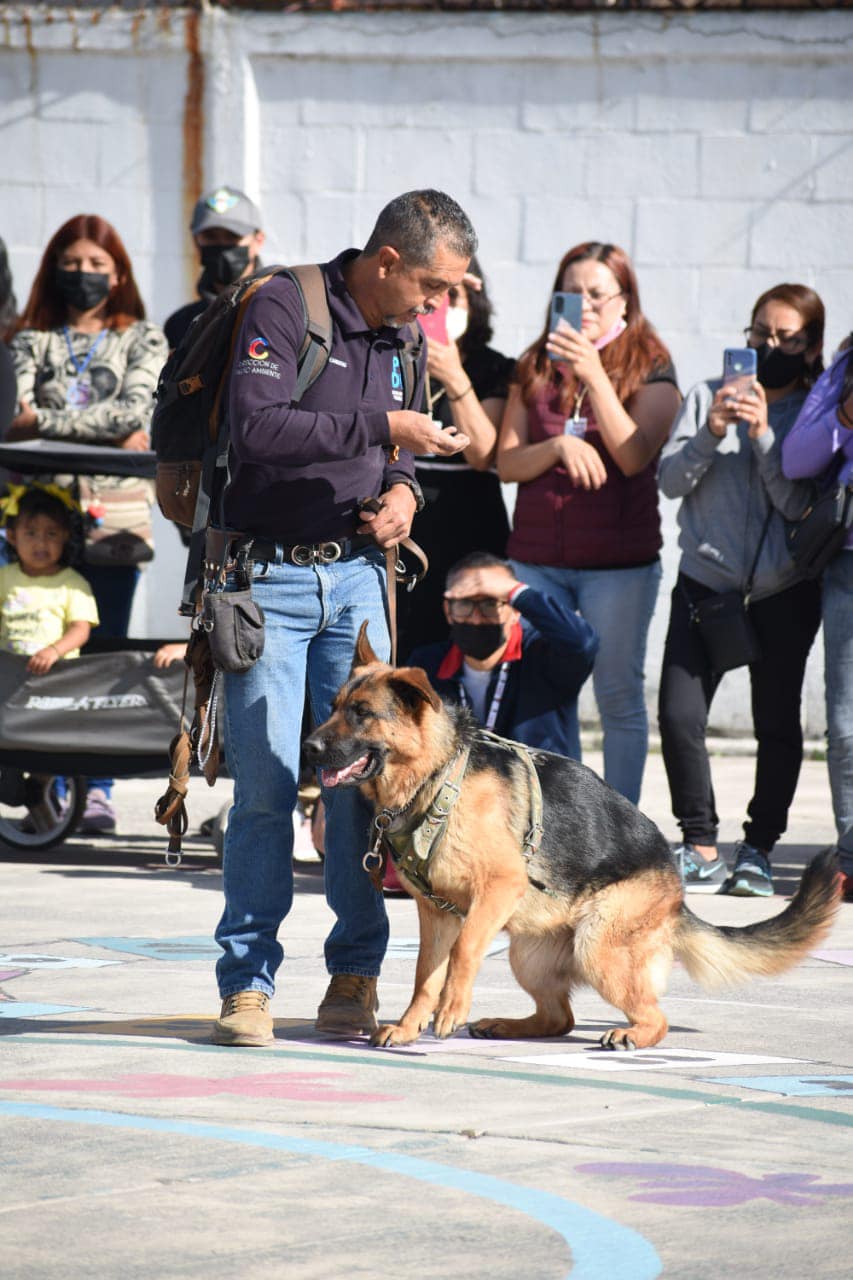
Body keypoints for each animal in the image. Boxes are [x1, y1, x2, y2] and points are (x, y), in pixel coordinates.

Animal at [302, 622, 835, 1049]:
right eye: (333, 706)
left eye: (363, 713)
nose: (308, 747)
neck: (438, 775)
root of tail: (677, 893)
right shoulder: (435, 914)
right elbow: (424, 974)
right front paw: (411, 1025)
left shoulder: (496, 891)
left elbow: (465, 951)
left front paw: (451, 1010)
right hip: (527, 954)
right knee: (559, 1017)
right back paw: (505, 1025)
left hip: (597, 946)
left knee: (653, 1017)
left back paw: (629, 1035)